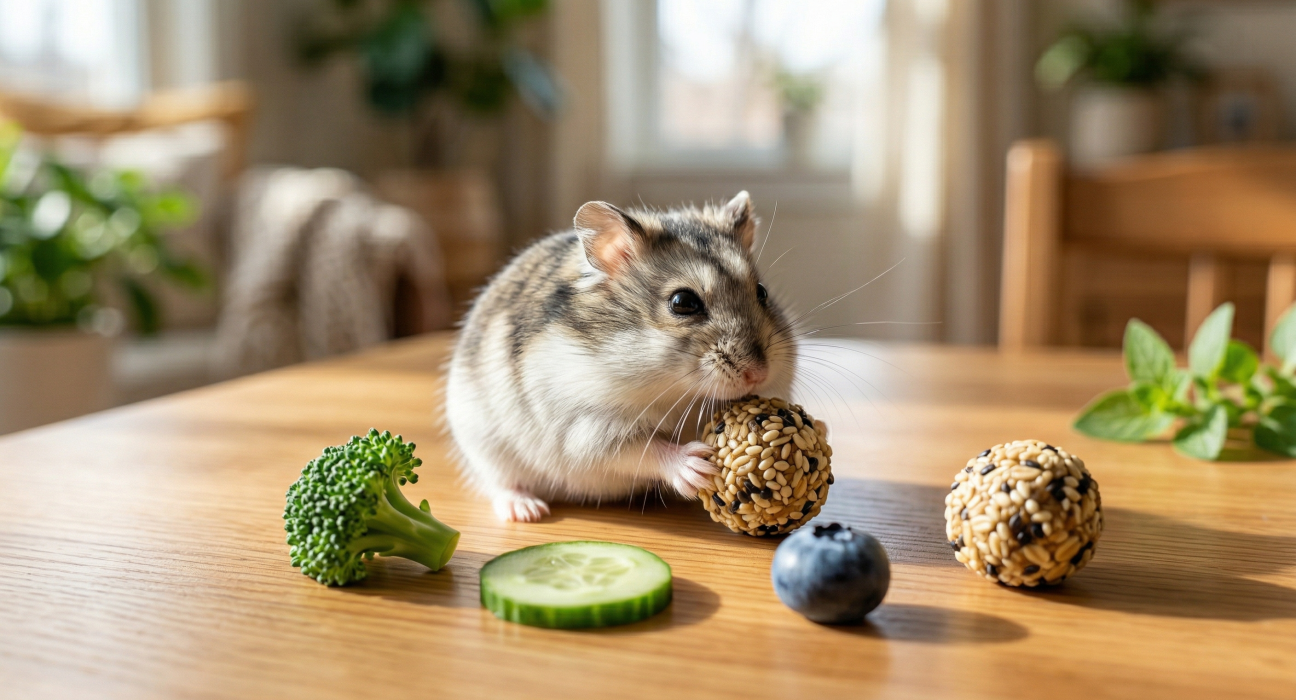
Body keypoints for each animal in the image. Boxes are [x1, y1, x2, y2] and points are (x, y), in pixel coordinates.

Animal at [445, 192, 797, 522]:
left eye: (762, 292)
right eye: (683, 302)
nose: (758, 374)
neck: (674, 390)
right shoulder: (586, 427)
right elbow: (640, 449)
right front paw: (697, 466)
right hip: (483, 444)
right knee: (499, 483)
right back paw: (527, 510)